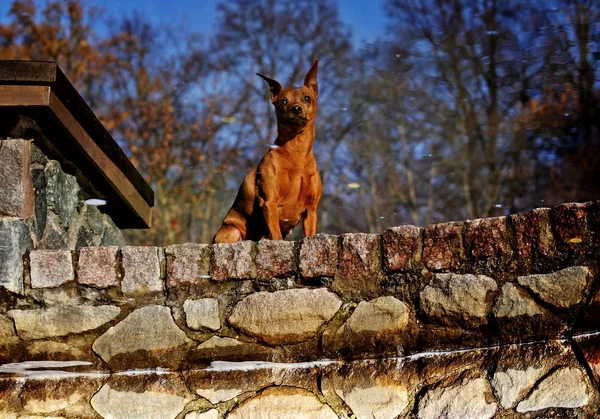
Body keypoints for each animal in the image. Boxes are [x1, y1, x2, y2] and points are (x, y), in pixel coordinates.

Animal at [213, 59, 322, 243]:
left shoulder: (311, 210)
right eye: (283, 101)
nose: (296, 108)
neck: (296, 154)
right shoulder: (269, 202)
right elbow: (276, 235)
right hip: (231, 231)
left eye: (306, 98)